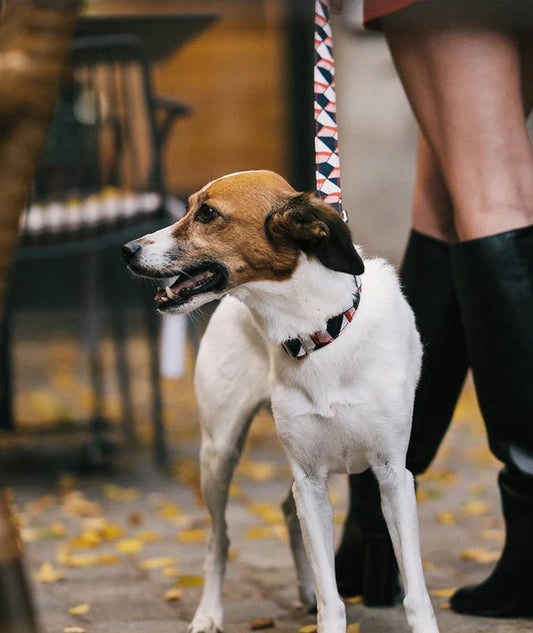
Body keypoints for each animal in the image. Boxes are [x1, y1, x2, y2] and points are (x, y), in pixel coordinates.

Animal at [122, 169, 438, 632]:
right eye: (189, 207)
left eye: (207, 213)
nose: (126, 250)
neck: (318, 330)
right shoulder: (309, 479)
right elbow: (331, 598)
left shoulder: (393, 475)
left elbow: (415, 592)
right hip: (218, 453)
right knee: (219, 537)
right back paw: (209, 613)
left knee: (285, 511)